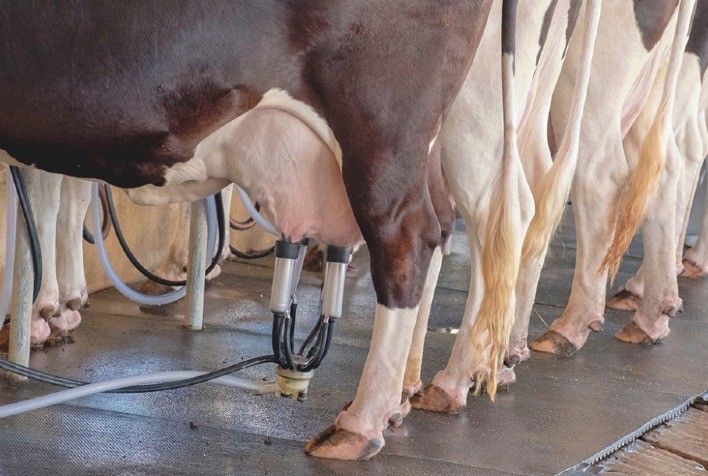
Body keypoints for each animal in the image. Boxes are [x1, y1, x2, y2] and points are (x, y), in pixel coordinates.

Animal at [0, 0, 504, 460]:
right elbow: (47, 203)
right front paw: (46, 313)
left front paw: (41, 316)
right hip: (424, 144)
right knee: (444, 224)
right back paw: (405, 394)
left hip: (382, 126)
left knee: (413, 236)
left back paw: (365, 421)